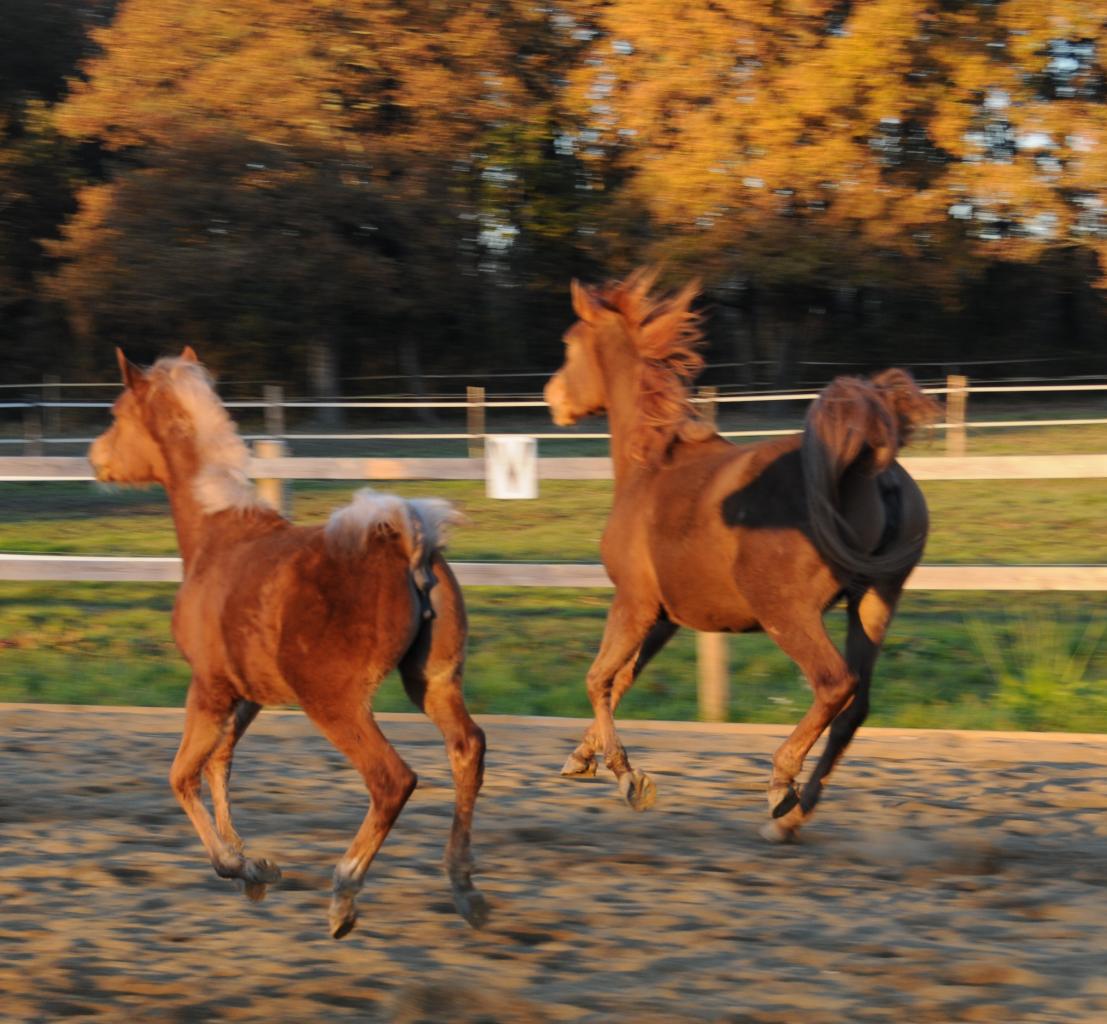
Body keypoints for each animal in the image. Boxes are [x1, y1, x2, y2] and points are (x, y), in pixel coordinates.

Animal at [92, 349, 491, 934]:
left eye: (117, 413)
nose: (95, 457)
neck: (216, 536)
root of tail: (406, 543)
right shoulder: (247, 695)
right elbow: (219, 764)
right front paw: (252, 865)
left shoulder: (208, 687)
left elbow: (182, 775)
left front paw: (238, 866)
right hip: (433, 683)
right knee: (467, 749)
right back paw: (463, 887)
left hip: (334, 703)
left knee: (392, 779)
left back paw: (345, 892)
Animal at [540, 270, 938, 836]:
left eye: (570, 344)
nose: (552, 397)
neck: (649, 466)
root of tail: (868, 467)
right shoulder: (663, 618)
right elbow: (620, 681)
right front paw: (582, 756)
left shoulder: (633, 603)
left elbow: (598, 679)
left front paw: (627, 777)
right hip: (874, 603)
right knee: (856, 706)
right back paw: (793, 816)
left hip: (787, 613)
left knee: (834, 685)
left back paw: (780, 784)